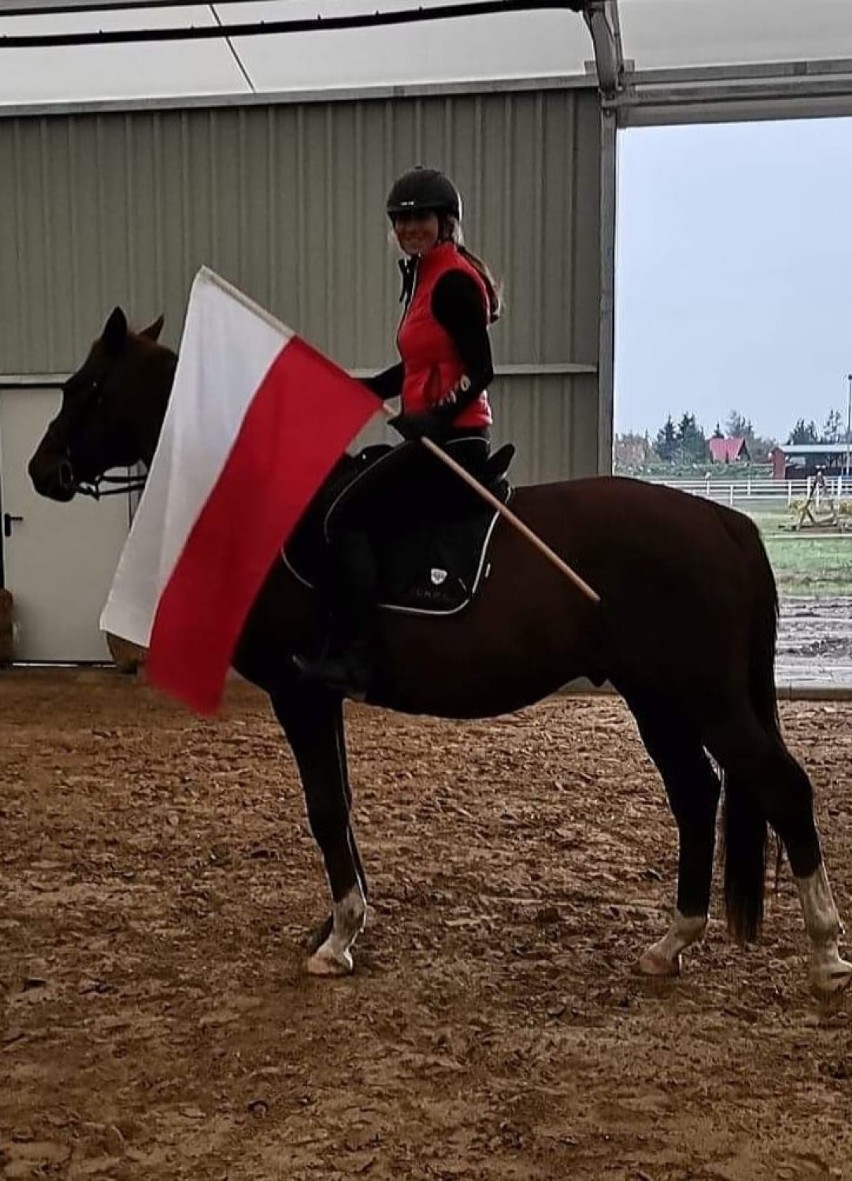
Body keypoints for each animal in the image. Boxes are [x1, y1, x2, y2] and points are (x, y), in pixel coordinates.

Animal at [28, 309, 850, 992]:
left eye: (85, 387)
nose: (42, 471)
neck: (274, 509)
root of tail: (725, 524)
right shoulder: (322, 698)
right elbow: (340, 805)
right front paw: (340, 924)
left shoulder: (302, 693)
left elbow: (324, 806)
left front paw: (338, 939)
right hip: (657, 698)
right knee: (696, 794)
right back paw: (672, 942)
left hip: (705, 697)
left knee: (783, 789)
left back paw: (825, 952)